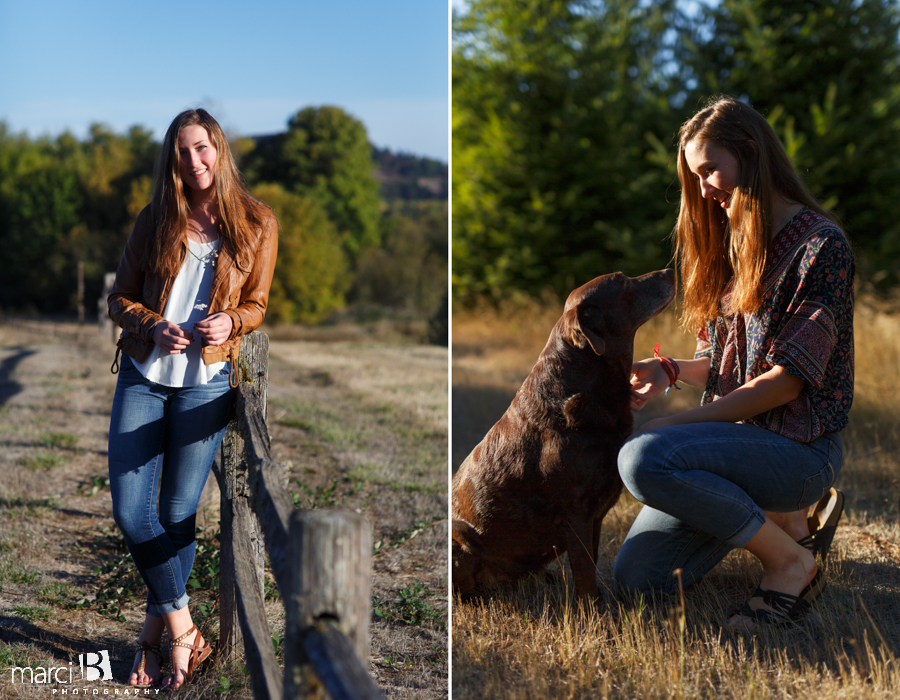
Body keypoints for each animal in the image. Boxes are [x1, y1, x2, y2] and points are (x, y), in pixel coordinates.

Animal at [450, 270, 676, 600]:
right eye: (622, 281)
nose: (670, 271)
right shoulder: (576, 511)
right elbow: (584, 570)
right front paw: (593, 608)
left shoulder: (595, 514)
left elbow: (591, 562)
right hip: (461, 533)